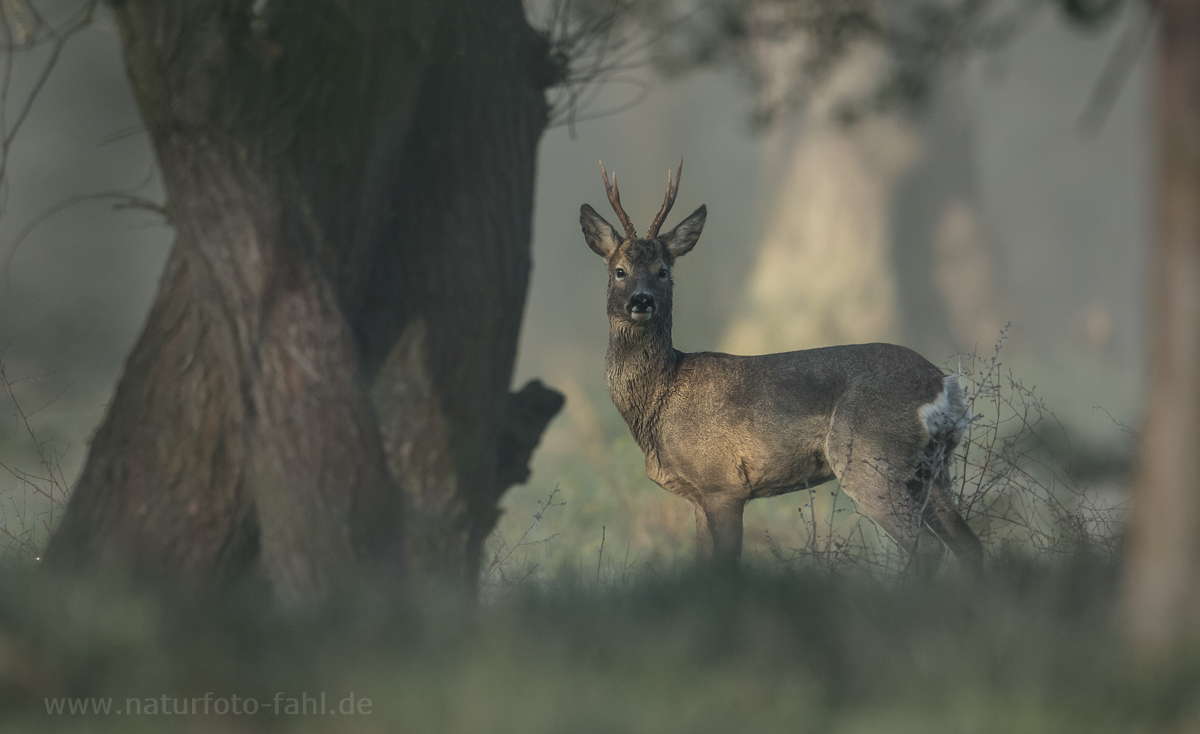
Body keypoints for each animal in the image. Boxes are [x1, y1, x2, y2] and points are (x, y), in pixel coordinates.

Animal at [580, 161, 984, 573]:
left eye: (663, 270)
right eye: (620, 270)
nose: (641, 300)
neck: (660, 398)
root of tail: (943, 384)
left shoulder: (723, 483)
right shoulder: (699, 494)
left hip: (870, 457)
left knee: (926, 547)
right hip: (930, 469)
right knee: (970, 544)